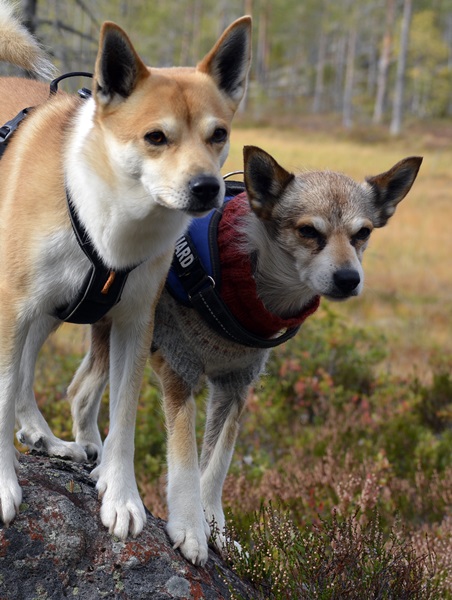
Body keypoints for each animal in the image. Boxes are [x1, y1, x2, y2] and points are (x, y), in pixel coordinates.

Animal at [0, 0, 252, 548]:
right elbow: (2, 393)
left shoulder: (133, 324)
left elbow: (123, 421)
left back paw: (46, 438)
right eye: (156, 137)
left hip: (51, 310)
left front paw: (121, 498)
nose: (207, 189)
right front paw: (2, 483)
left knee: (28, 374)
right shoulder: (11, 308)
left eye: (218, 135)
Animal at [65, 143, 422, 564]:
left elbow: (216, 465)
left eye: (362, 233)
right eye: (308, 231)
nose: (349, 279)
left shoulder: (236, 386)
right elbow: (185, 461)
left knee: (80, 390)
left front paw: (214, 528)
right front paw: (190, 528)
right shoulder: (179, 370)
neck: (245, 282)